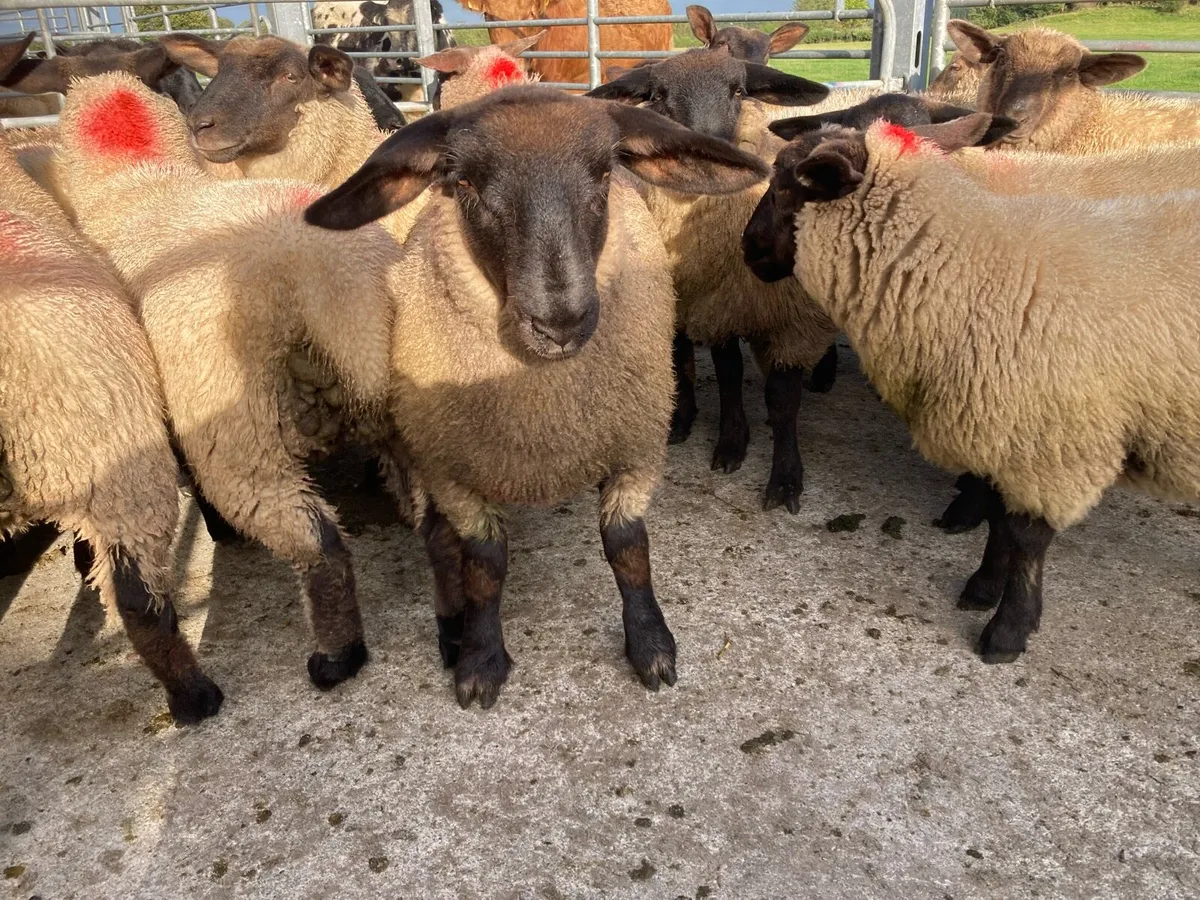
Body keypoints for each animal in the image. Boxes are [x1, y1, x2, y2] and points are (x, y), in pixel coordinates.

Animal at [306, 86, 771, 708]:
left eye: (606, 173)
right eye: (463, 181)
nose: (561, 322)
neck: (543, 410)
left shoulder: (636, 445)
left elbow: (628, 547)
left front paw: (651, 644)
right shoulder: (454, 470)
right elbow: (483, 564)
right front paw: (479, 659)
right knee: (437, 541)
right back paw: (451, 629)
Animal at [588, 50, 837, 514]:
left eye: (737, 91)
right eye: (658, 97)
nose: (705, 153)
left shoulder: (789, 319)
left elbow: (781, 401)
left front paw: (785, 478)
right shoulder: (708, 304)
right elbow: (716, 372)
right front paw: (722, 438)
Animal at [747, 113, 1200, 662]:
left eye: (784, 186)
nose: (746, 248)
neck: (974, 268)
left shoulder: (1051, 441)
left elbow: (1026, 535)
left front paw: (1008, 628)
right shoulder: (1009, 428)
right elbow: (1003, 521)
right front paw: (985, 584)